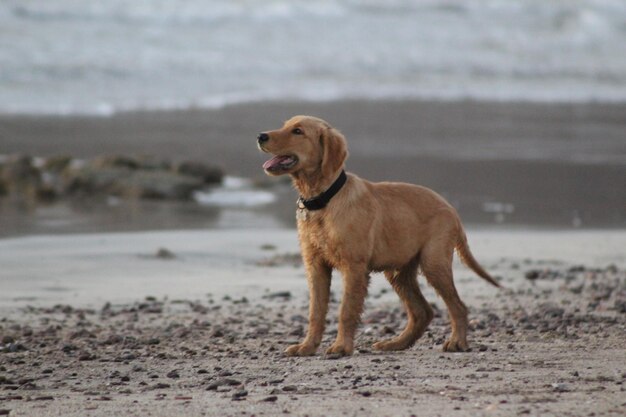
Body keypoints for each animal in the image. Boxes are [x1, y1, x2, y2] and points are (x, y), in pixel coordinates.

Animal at [255, 115, 498, 356]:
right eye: (285, 126)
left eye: (297, 131)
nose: (260, 136)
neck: (323, 200)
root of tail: (451, 208)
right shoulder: (315, 265)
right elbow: (316, 311)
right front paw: (307, 346)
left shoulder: (354, 266)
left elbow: (346, 310)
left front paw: (341, 347)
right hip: (399, 272)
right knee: (423, 312)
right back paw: (396, 343)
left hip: (433, 262)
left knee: (458, 306)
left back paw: (457, 342)